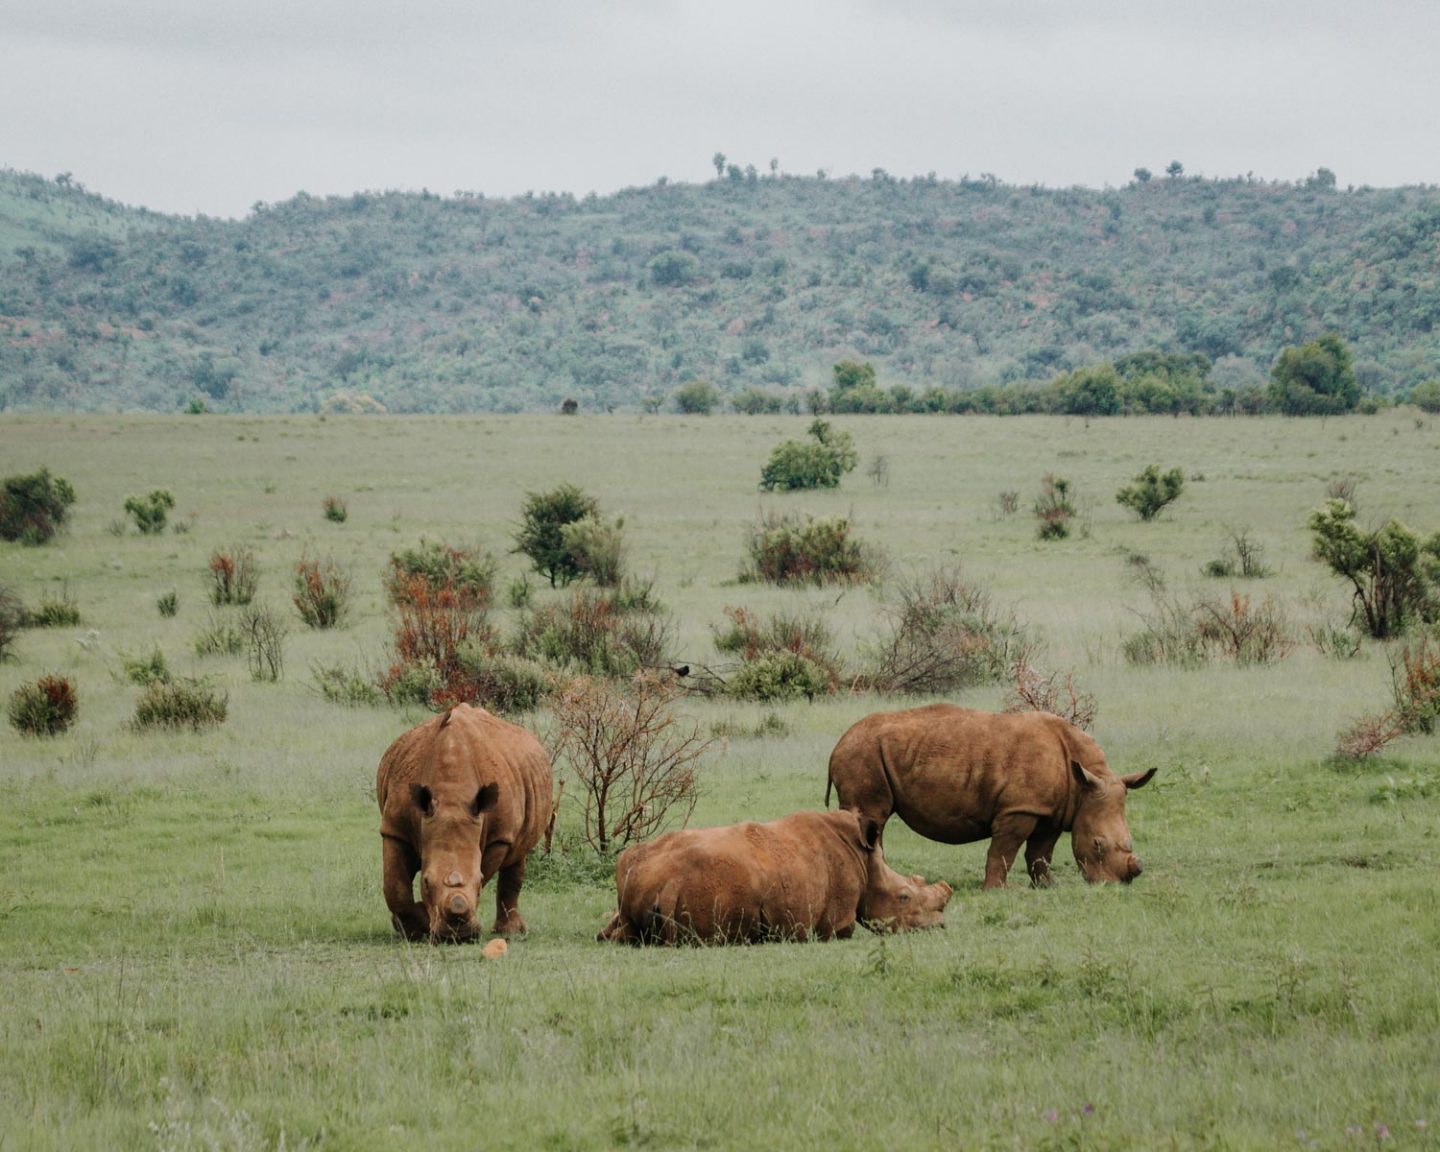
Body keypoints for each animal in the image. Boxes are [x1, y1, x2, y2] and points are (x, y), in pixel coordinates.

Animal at [374, 702, 552, 944]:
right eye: (426, 883)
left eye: (479, 881)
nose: (457, 936)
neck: (452, 797)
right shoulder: (394, 828)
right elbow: (395, 887)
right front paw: (415, 928)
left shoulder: (499, 837)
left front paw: (426, 924)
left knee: (518, 853)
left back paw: (510, 933)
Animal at [829, 705, 1152, 887]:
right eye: (1097, 844)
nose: (1113, 885)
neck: (1082, 780)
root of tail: (840, 741)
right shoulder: (1019, 808)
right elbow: (1003, 851)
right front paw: (996, 890)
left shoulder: (1050, 810)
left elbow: (1040, 853)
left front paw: (1047, 886)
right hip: (863, 753)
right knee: (872, 816)